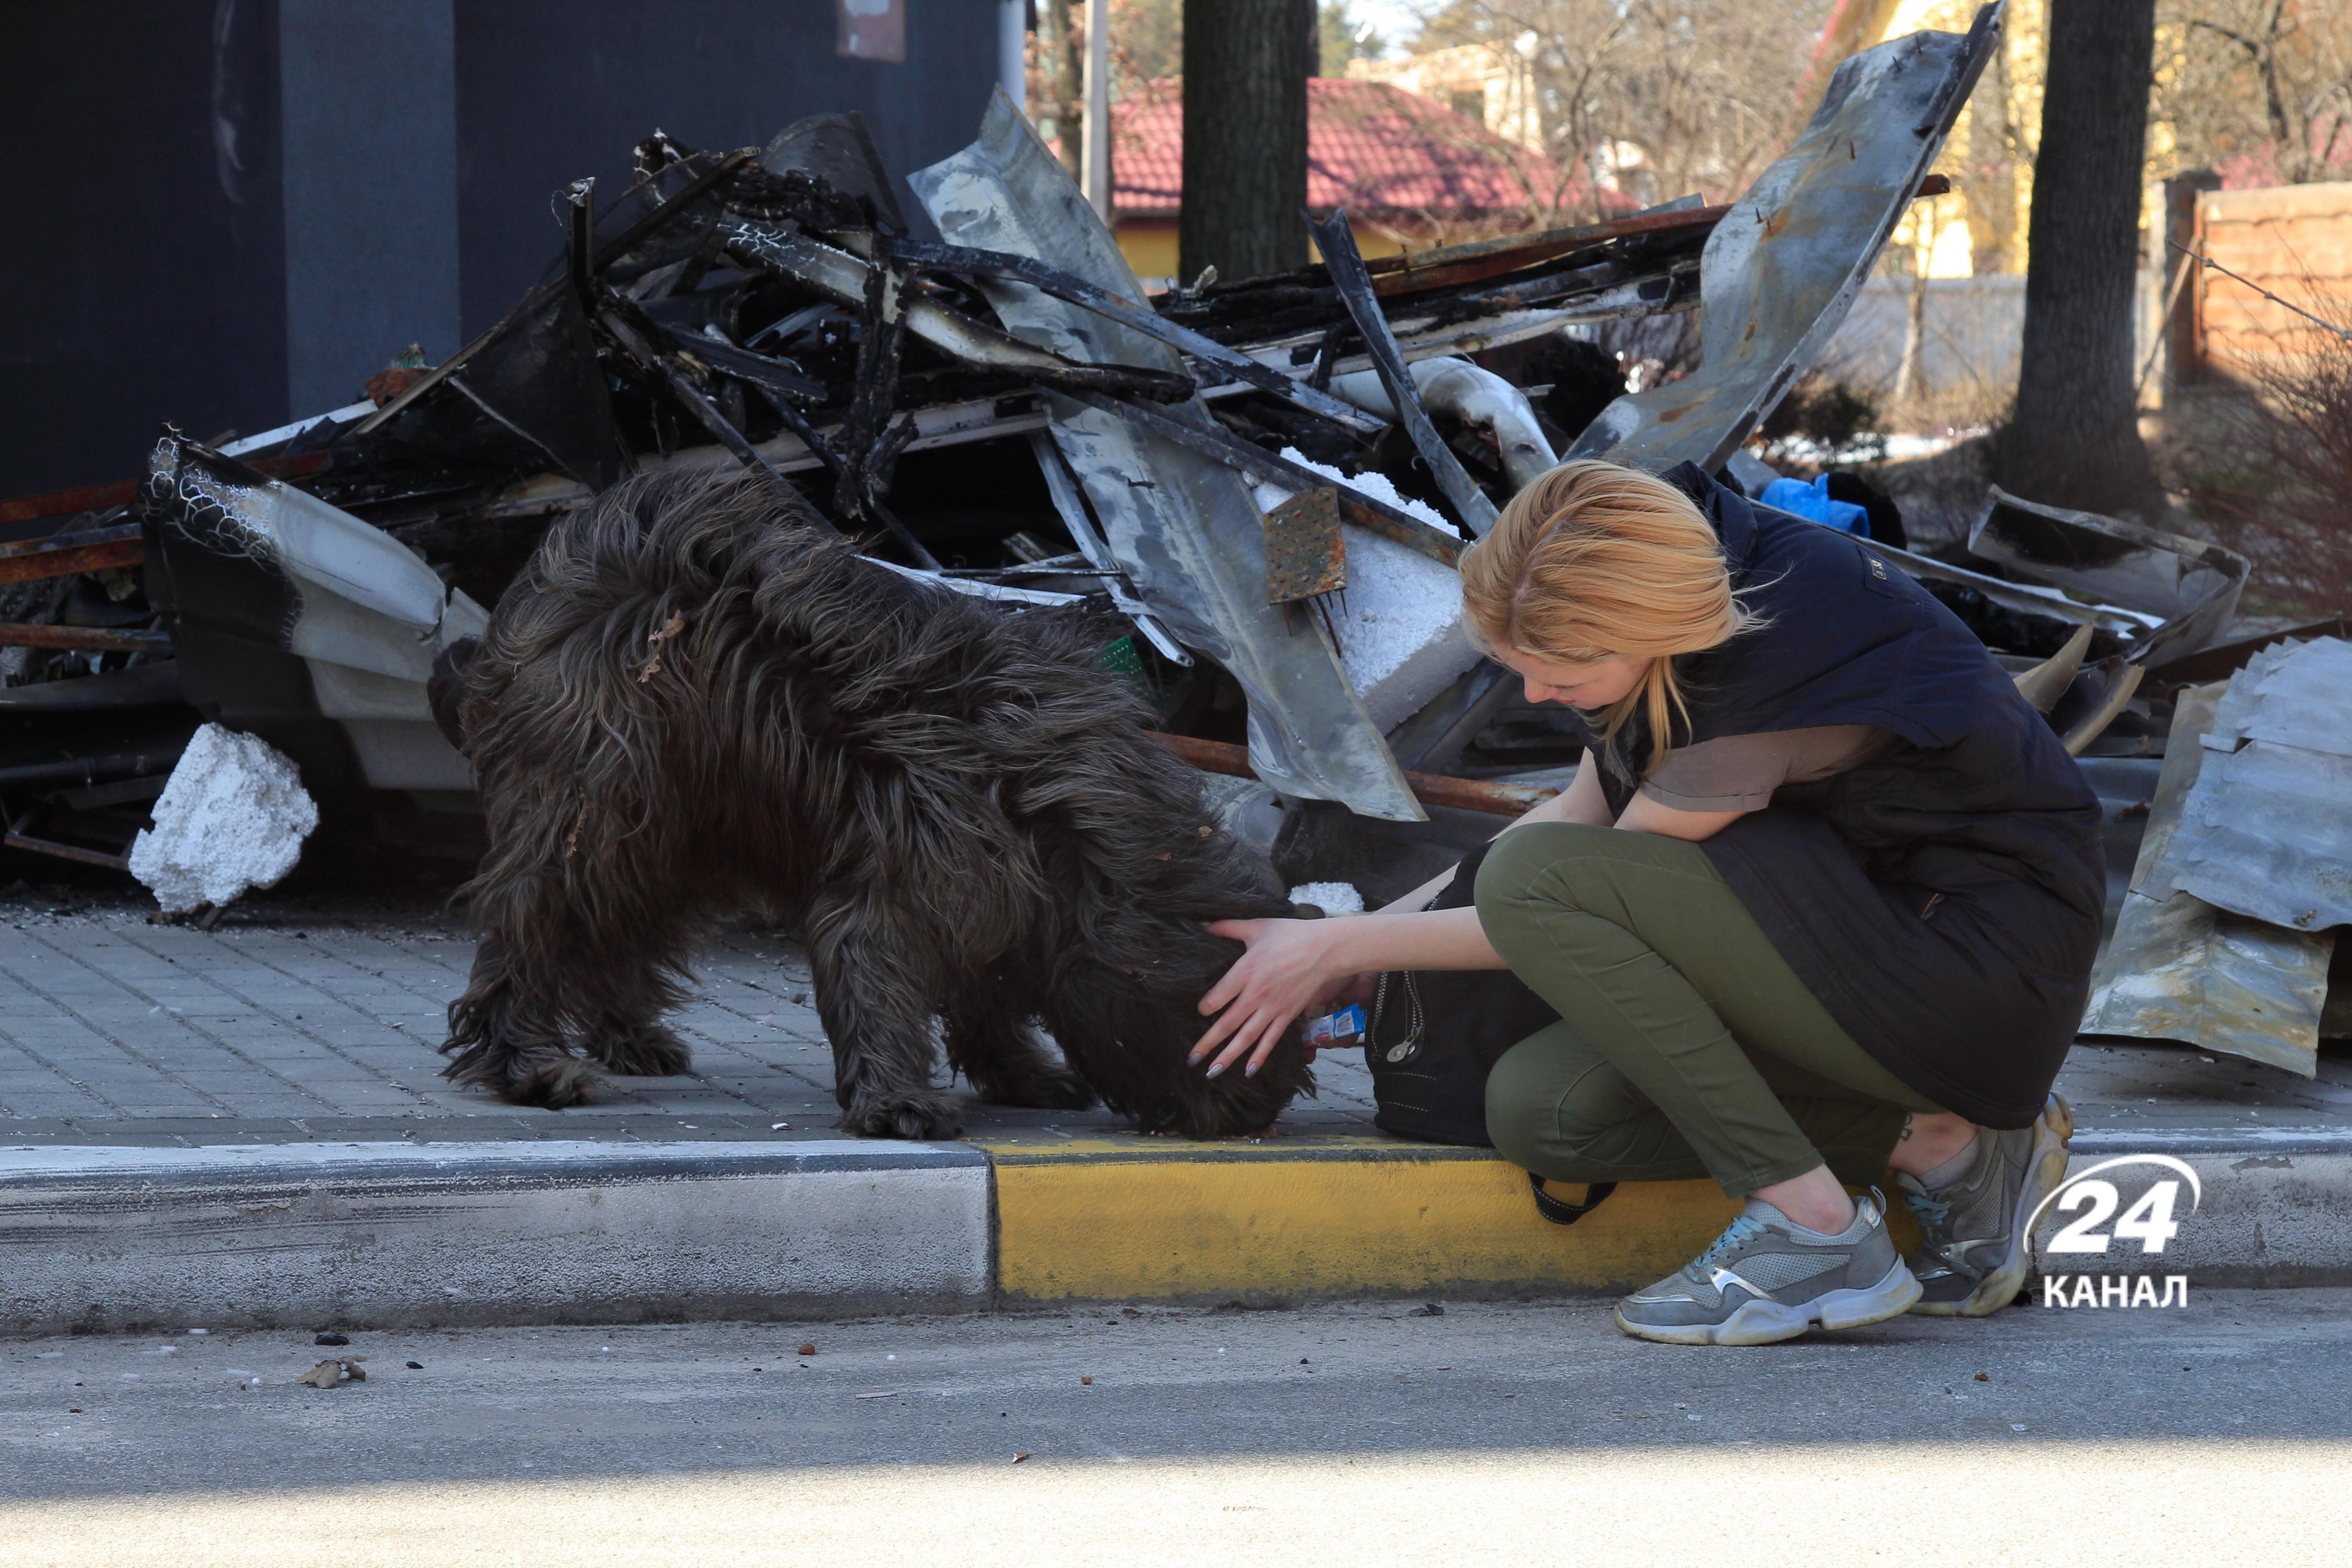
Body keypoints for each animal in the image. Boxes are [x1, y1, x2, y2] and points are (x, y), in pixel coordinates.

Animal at [432, 465, 1317, 1142]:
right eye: (1225, 1021)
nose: (1262, 1109)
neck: (1074, 825)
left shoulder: (991, 886)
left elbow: (985, 982)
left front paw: (1019, 1072)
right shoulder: (916, 860)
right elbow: (874, 965)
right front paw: (898, 1102)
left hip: (679, 818)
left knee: (619, 921)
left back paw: (631, 1036)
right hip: (594, 788)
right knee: (538, 915)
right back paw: (530, 1065)